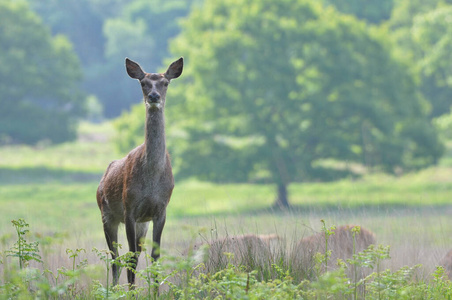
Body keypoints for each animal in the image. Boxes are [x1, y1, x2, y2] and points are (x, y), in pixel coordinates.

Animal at [96, 56, 183, 286]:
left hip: (141, 223)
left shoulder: (160, 209)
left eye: (165, 83)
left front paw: (155, 290)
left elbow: (155, 257)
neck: (151, 178)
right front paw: (132, 291)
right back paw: (114, 288)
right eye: (143, 83)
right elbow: (131, 259)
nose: (153, 96)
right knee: (116, 258)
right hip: (106, 214)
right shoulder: (130, 208)